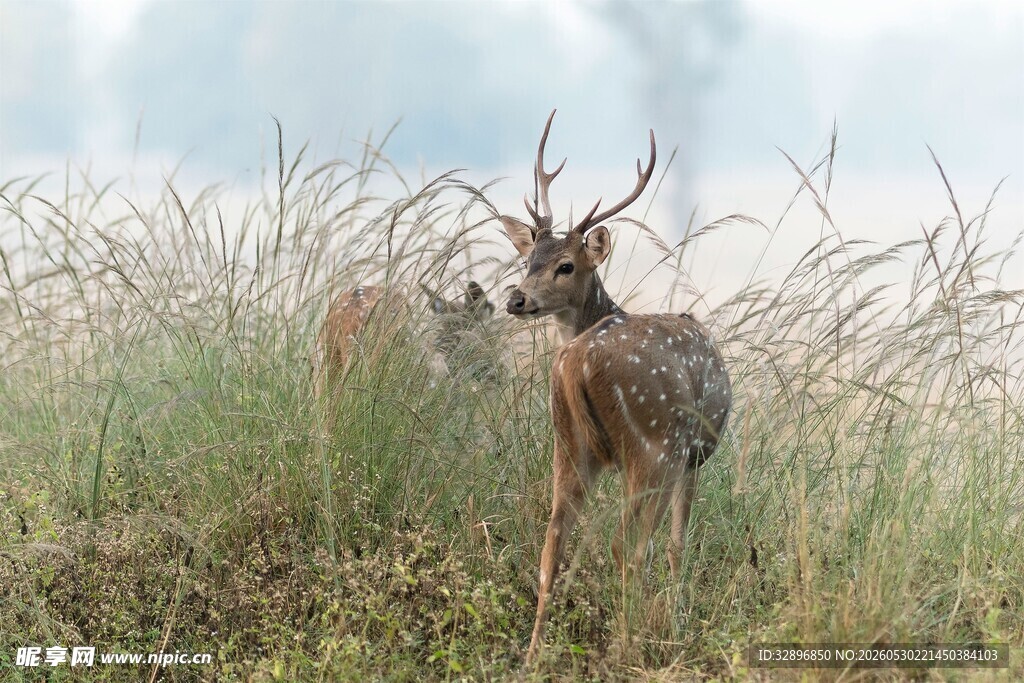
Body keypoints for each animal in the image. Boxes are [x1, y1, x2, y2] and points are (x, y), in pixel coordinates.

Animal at [498, 110, 732, 664]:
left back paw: (534, 653)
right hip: (653, 444)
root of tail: (577, 362)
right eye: (527, 261)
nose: (516, 299)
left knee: (552, 540)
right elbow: (676, 544)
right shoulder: (692, 457)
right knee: (629, 546)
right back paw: (631, 643)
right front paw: (675, 623)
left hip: (568, 444)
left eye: (564, 264)